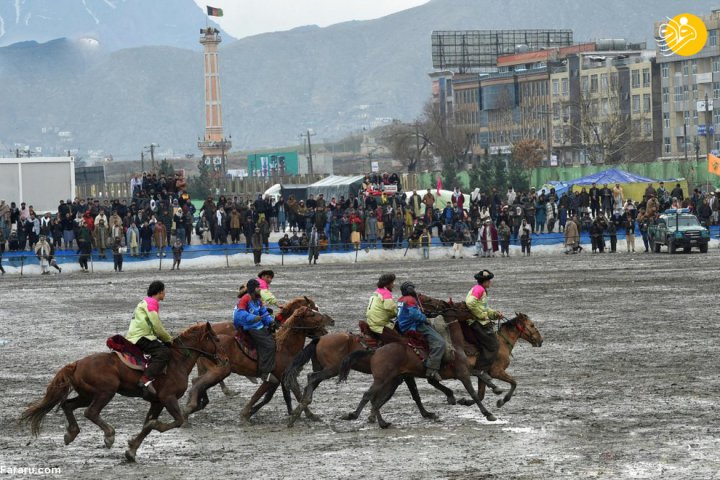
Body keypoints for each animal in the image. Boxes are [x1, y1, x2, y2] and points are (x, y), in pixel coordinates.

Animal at [19, 322, 226, 462]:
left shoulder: (157, 402)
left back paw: (71, 433)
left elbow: (147, 425)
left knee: (67, 405)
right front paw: (150, 430)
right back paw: (109, 435)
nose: (224, 359)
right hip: (105, 392)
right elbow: (176, 421)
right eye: (215, 338)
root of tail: (77, 363)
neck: (176, 362)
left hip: (87, 395)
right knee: (90, 412)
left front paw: (132, 449)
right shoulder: (168, 398)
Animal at [184, 306, 334, 422]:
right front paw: (245, 414)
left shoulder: (282, 377)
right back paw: (190, 408)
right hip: (220, 371)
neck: (284, 347)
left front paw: (304, 414)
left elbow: (286, 395)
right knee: (198, 383)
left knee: (196, 381)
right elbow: (261, 395)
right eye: (311, 314)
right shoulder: (275, 377)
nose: (330, 319)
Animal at [284, 292, 464, 428]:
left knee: (310, 382)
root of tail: (320, 339)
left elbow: (409, 394)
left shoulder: (402, 375)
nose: (444, 305)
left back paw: (301, 412)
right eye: (429, 301)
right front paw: (430, 411)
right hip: (331, 369)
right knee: (311, 378)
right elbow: (415, 393)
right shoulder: (406, 374)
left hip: (322, 368)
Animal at [338, 312, 536, 432]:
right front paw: (489, 412)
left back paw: (382, 421)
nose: (539, 340)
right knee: (370, 395)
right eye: (533, 325)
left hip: (394, 380)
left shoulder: (470, 370)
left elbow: (480, 385)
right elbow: (477, 392)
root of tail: (376, 350)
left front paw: (489, 394)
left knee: (379, 399)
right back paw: (354, 415)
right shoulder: (468, 372)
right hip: (383, 379)